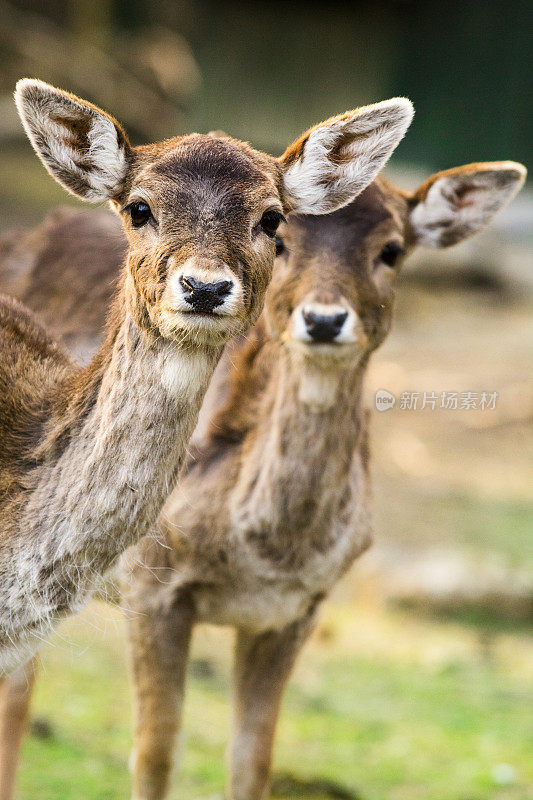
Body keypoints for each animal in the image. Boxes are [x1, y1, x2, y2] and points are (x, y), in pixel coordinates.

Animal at [0, 152, 524, 800]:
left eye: (392, 249)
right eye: (286, 241)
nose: (323, 321)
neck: (268, 552)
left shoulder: (301, 608)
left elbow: (253, 761)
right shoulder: (150, 582)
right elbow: (154, 752)